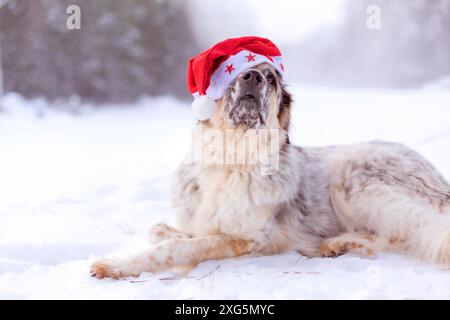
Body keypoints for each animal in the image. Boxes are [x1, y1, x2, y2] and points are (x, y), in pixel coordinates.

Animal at [89, 62, 450, 278]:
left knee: (413, 233)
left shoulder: (250, 238)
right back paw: (341, 244)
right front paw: (172, 232)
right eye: (234, 73)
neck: (231, 161)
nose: (253, 77)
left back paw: (342, 244)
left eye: (272, 78)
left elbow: (180, 246)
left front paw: (114, 264)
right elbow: (162, 230)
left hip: (354, 181)